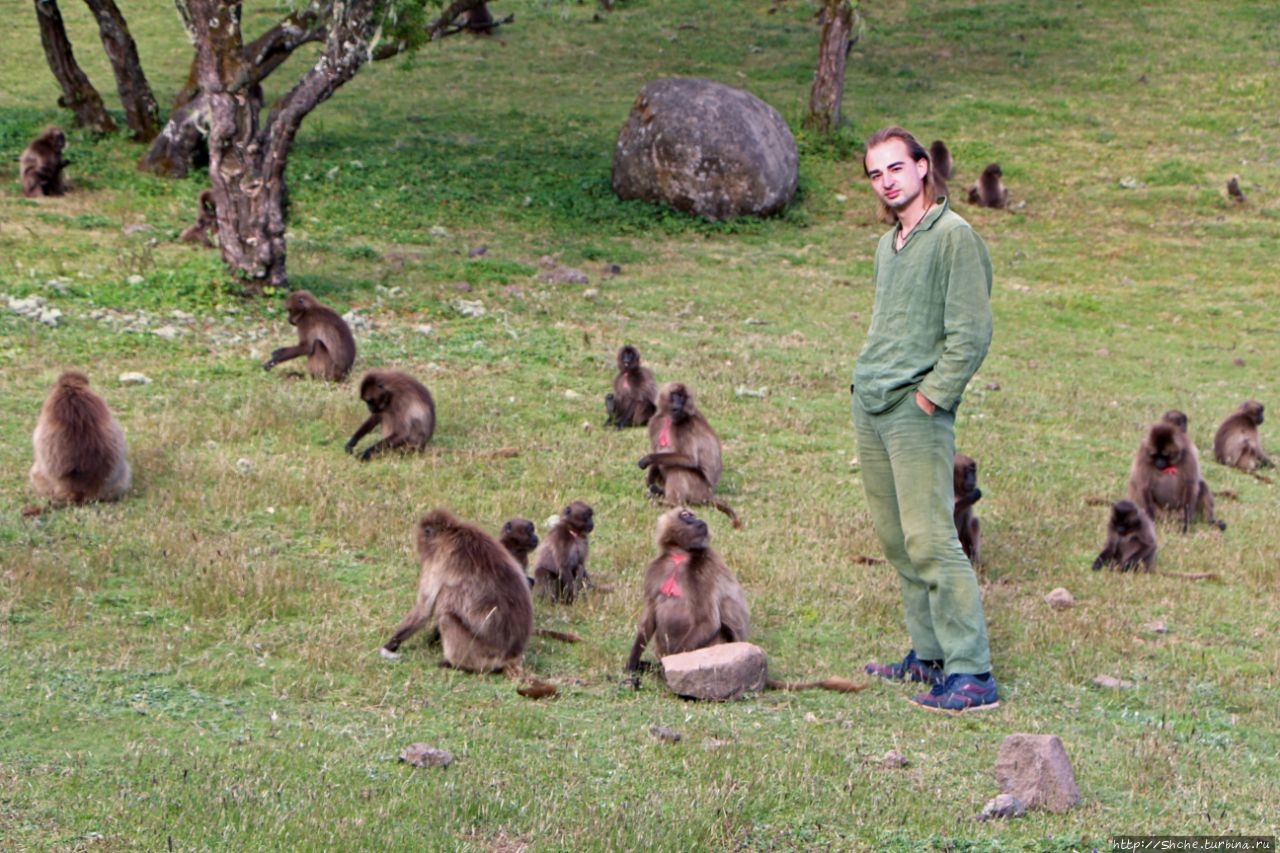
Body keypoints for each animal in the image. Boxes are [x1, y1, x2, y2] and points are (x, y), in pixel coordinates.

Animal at [624, 504, 747, 671]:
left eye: (691, 515)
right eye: (686, 515)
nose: (700, 521)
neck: (680, 555)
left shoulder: (704, 571)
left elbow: (708, 621)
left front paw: (662, 667)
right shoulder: (655, 569)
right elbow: (649, 617)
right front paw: (632, 662)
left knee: (723, 625)